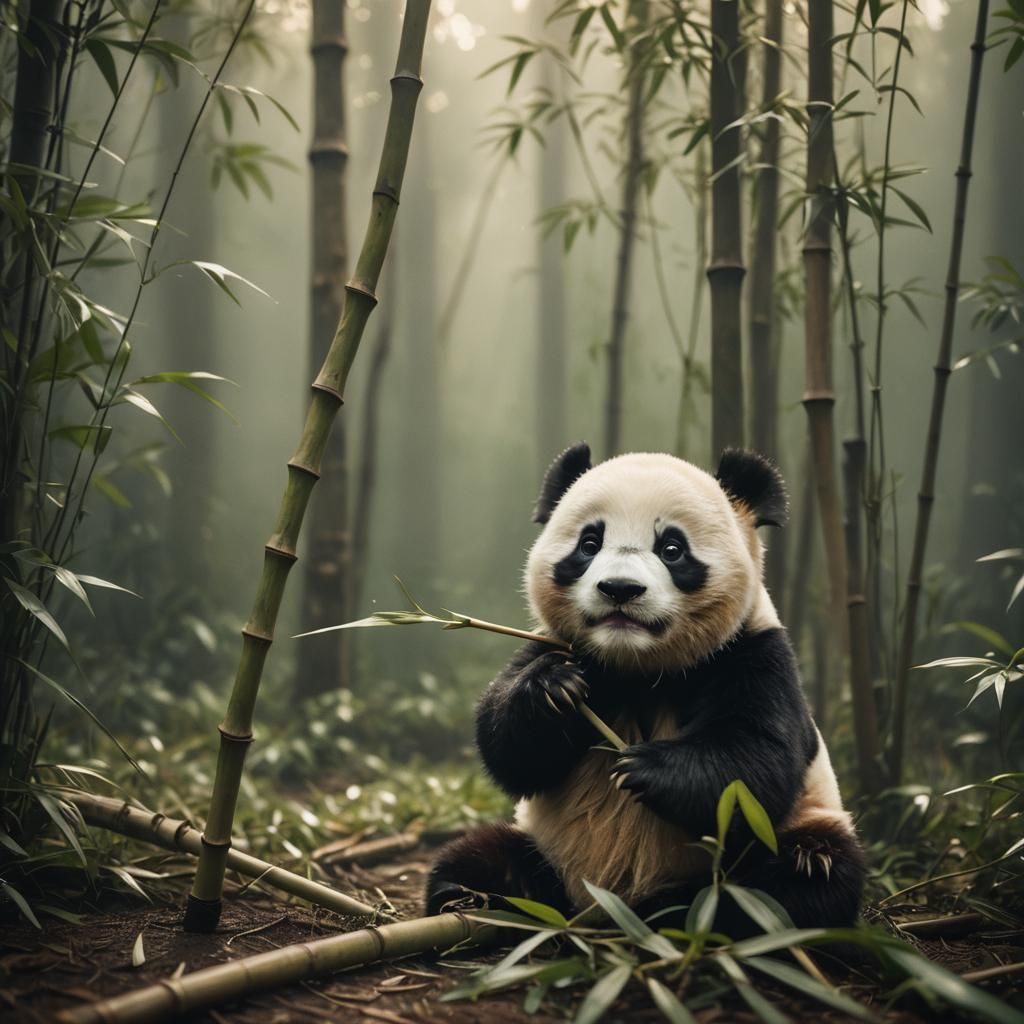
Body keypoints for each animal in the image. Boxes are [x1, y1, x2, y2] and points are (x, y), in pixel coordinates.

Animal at [426, 443, 865, 931]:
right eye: (589, 544)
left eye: (672, 549)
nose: (620, 588)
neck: (638, 667)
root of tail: (593, 907)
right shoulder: (558, 643)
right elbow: (508, 748)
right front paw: (552, 688)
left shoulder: (752, 653)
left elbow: (758, 761)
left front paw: (643, 767)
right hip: (540, 844)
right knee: (479, 855)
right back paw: (465, 897)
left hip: (803, 828)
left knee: (801, 880)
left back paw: (680, 909)